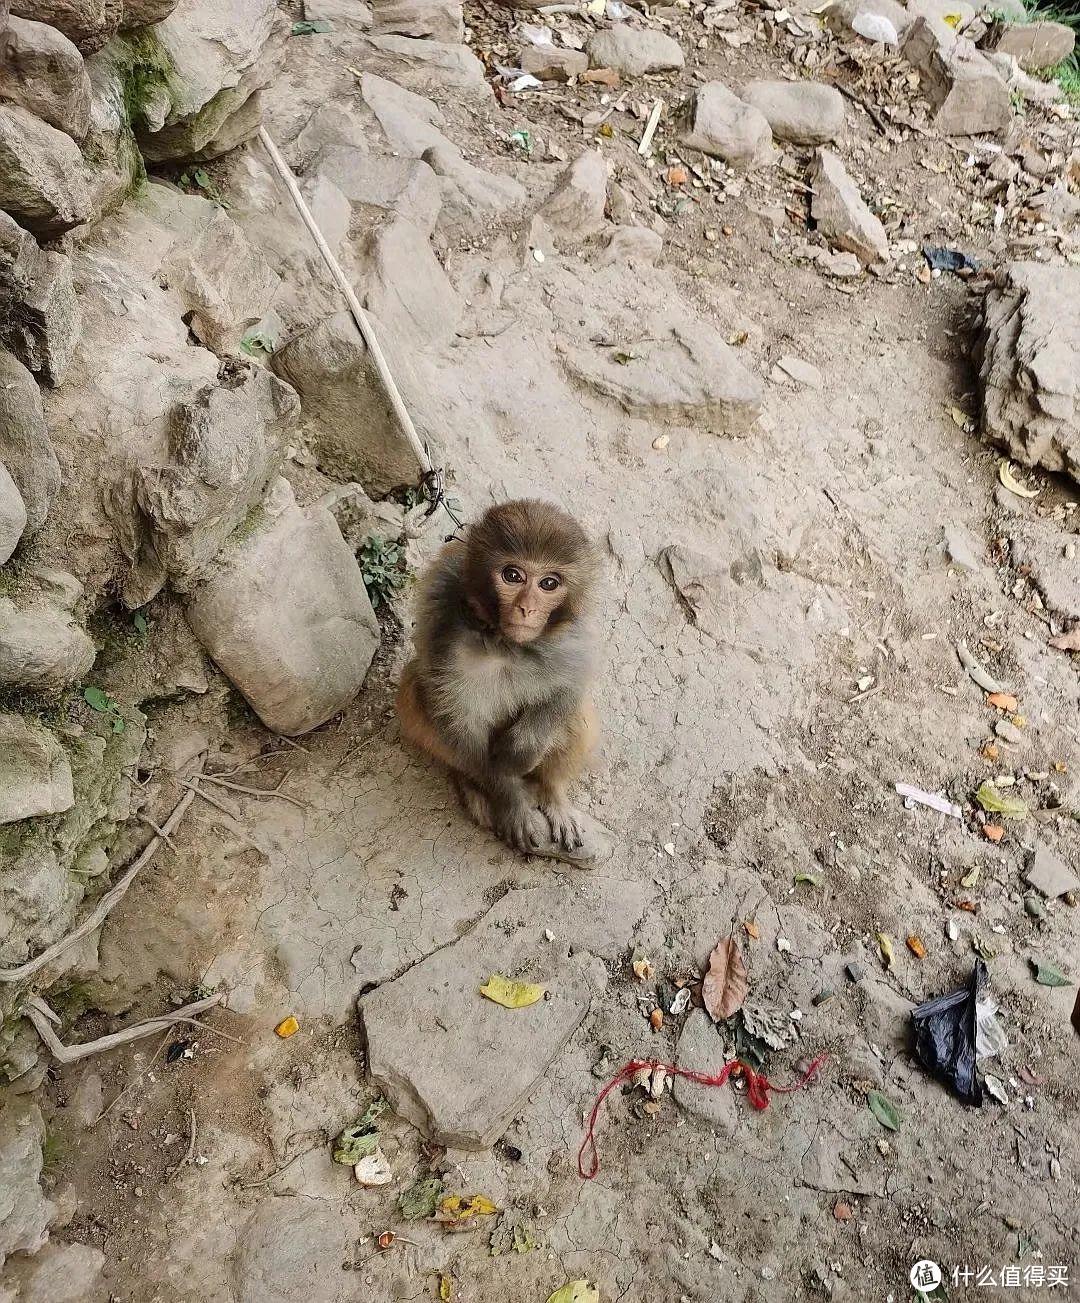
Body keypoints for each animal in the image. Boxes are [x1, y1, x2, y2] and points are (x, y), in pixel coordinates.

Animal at [396, 500, 599, 865]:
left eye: (549, 583)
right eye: (512, 576)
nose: (527, 609)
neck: (504, 642)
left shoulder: (572, 635)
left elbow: (572, 682)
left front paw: (520, 751)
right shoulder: (445, 627)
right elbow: (453, 712)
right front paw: (510, 800)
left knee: (575, 714)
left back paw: (553, 795)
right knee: (415, 691)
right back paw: (476, 787)